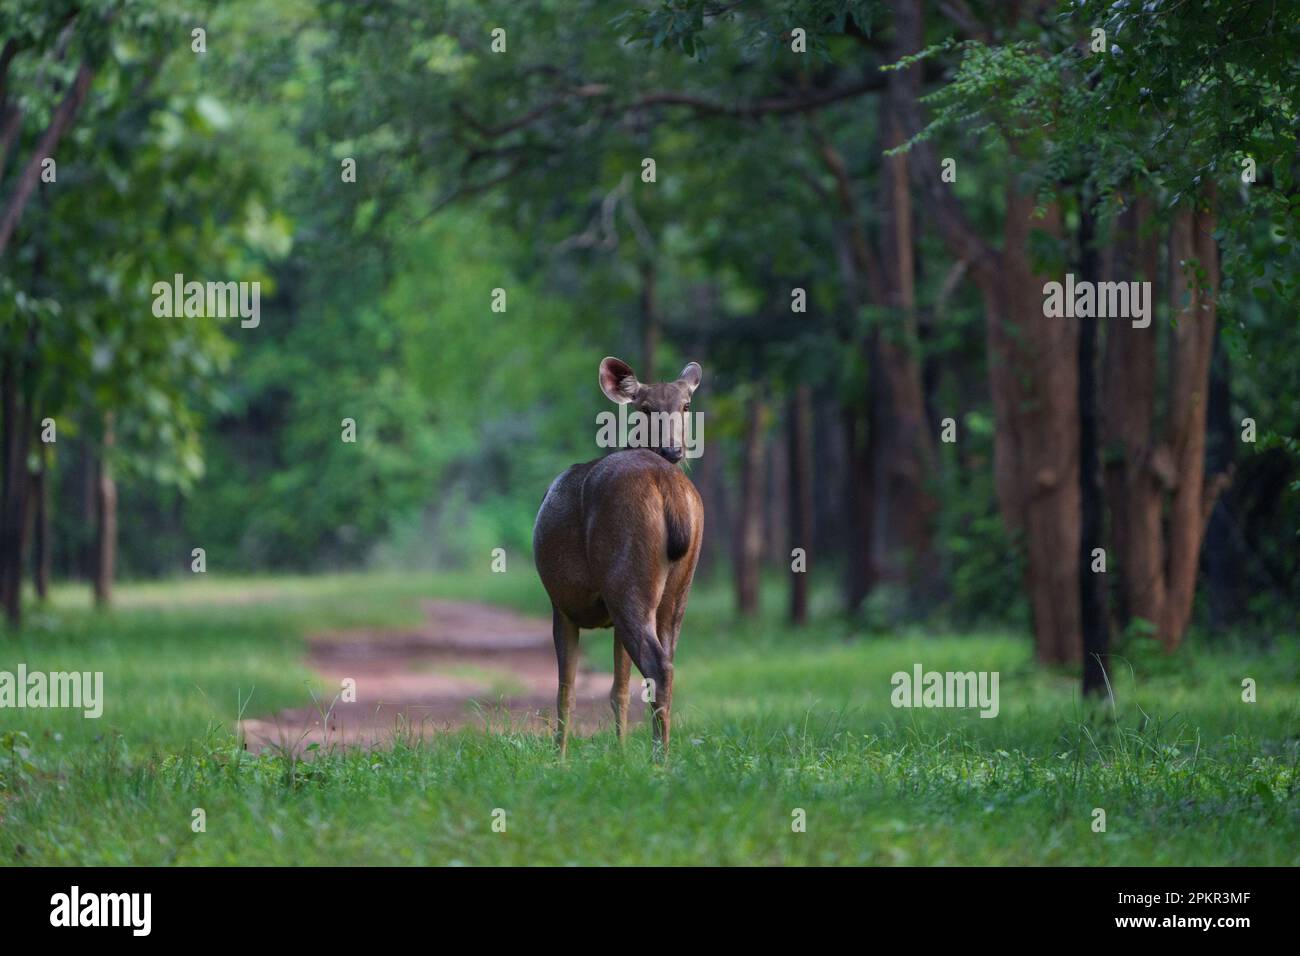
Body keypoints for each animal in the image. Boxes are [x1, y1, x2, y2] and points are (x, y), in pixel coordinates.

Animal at [535, 356, 707, 759]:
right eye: (646, 408)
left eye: (685, 406)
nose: (674, 450)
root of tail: (667, 484)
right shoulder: (608, 617)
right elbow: (618, 690)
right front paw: (621, 753)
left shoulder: (561, 604)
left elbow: (566, 692)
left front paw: (558, 758)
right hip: (677, 589)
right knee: (667, 664)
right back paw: (662, 755)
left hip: (625, 576)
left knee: (657, 666)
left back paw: (659, 760)